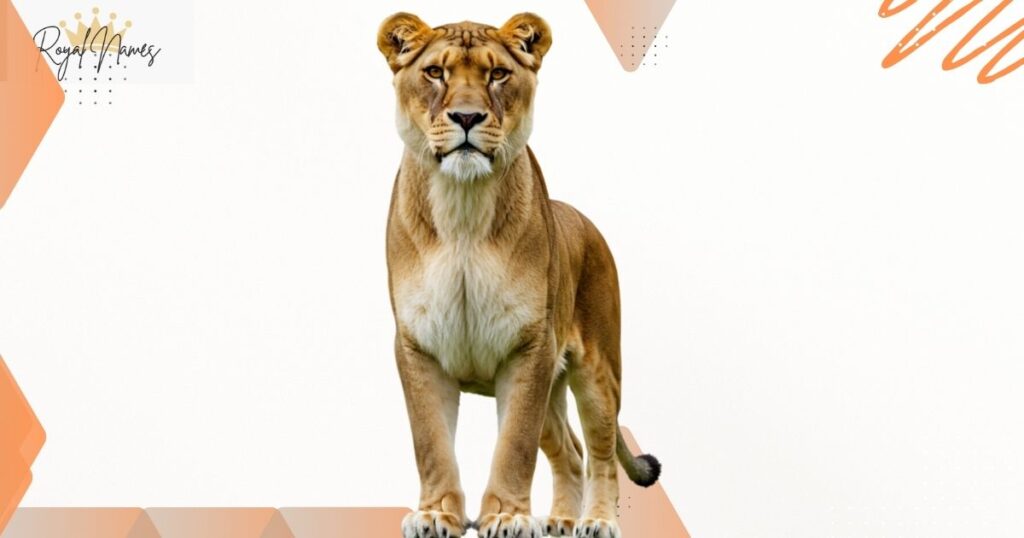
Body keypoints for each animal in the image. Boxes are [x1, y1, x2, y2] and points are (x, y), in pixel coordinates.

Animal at [378, 12, 661, 538]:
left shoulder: (529, 349)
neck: (463, 210)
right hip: (551, 389)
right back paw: (562, 520)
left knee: (600, 453)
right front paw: (437, 514)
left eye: (498, 75)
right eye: (435, 73)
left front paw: (507, 517)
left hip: (596, 372)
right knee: (570, 452)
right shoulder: (417, 345)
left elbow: (514, 447)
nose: (467, 117)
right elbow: (431, 442)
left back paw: (596, 521)